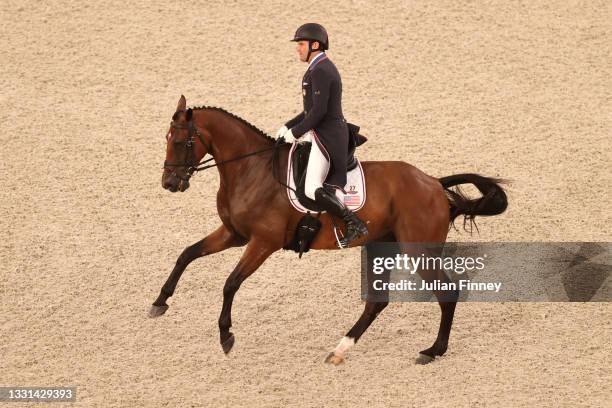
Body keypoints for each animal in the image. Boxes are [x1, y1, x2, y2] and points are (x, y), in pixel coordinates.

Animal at [152, 96, 506, 366]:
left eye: (182, 142)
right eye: (166, 140)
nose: (170, 183)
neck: (250, 170)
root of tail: (433, 183)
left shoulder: (262, 242)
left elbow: (231, 284)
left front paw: (226, 335)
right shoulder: (233, 234)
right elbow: (186, 254)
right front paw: (160, 302)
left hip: (418, 250)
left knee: (446, 293)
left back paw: (433, 351)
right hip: (381, 246)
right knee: (377, 302)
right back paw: (340, 349)